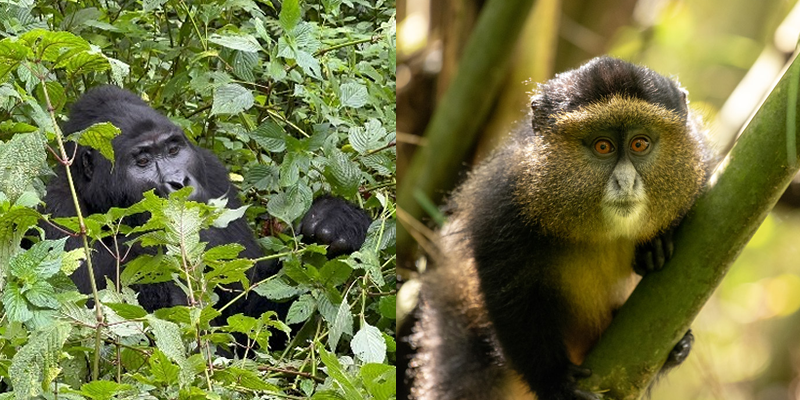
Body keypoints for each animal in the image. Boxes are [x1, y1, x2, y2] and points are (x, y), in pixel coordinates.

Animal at [408, 57, 715, 400]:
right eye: (603, 146)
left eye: (640, 144)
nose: (626, 182)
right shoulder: (503, 205)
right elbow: (510, 297)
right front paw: (554, 382)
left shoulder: (697, 162)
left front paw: (657, 243)